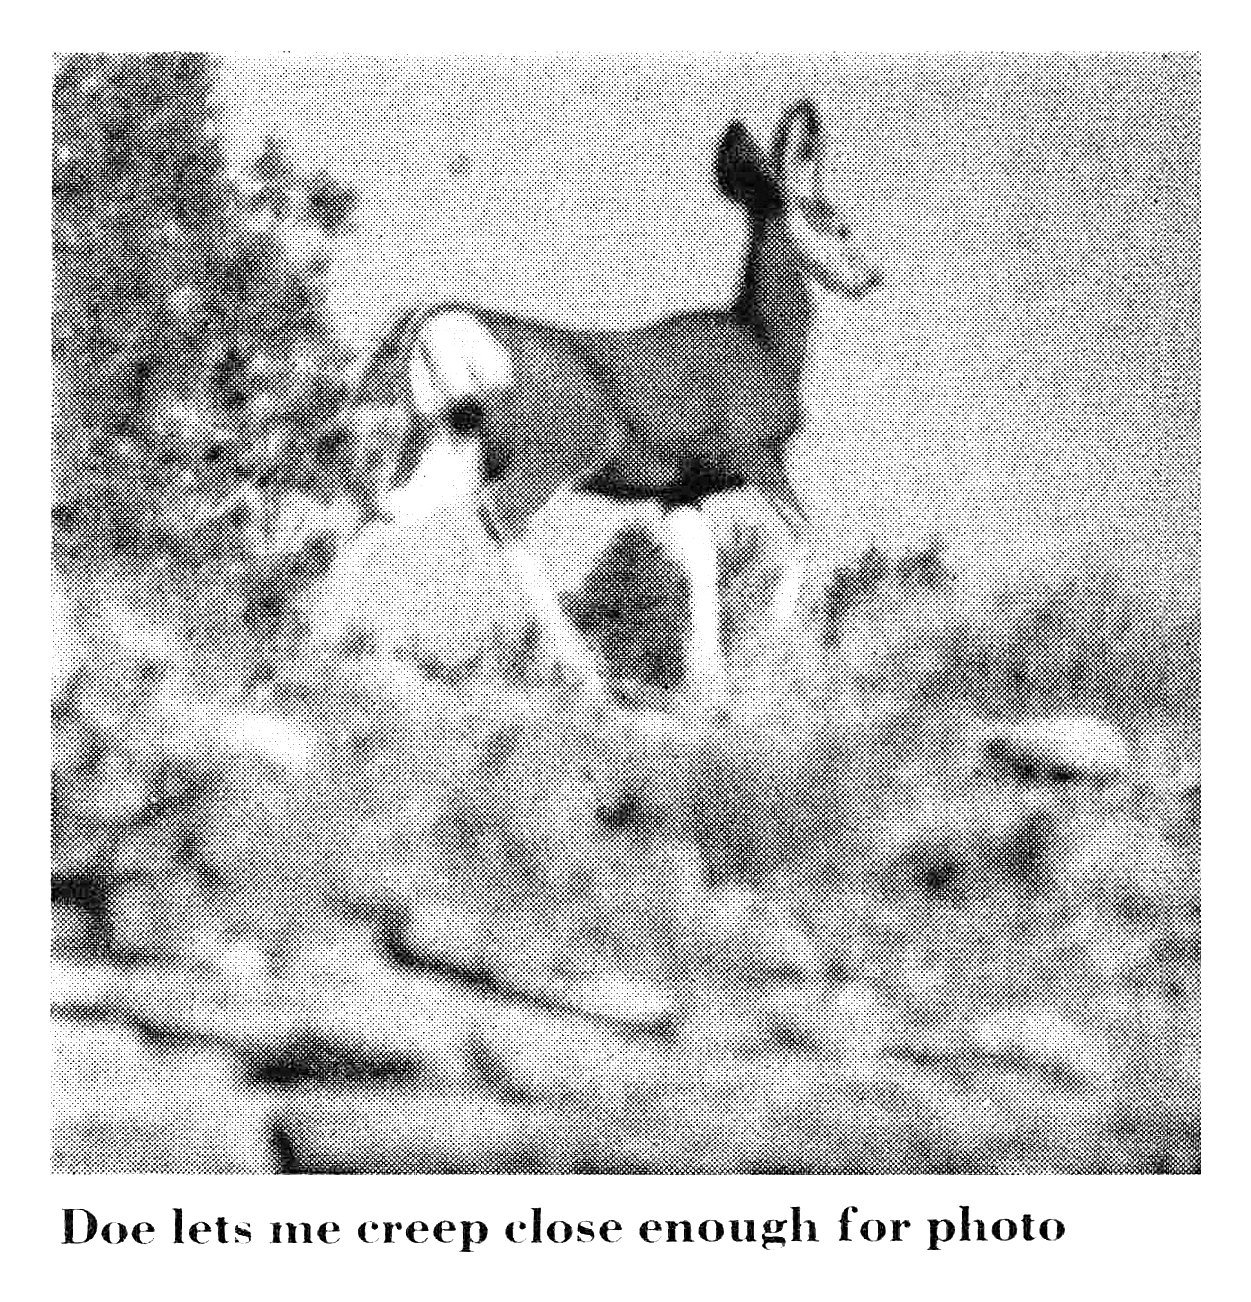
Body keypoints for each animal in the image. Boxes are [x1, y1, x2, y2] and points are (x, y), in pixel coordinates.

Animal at [337, 100, 880, 712]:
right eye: (822, 213)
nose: (872, 274)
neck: (763, 344)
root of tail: (434, 333)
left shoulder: (680, 488)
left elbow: (701, 560)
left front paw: (704, 681)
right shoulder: (751, 457)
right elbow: (813, 536)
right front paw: (762, 645)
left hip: (448, 444)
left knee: (378, 509)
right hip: (539, 458)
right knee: (501, 524)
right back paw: (585, 675)